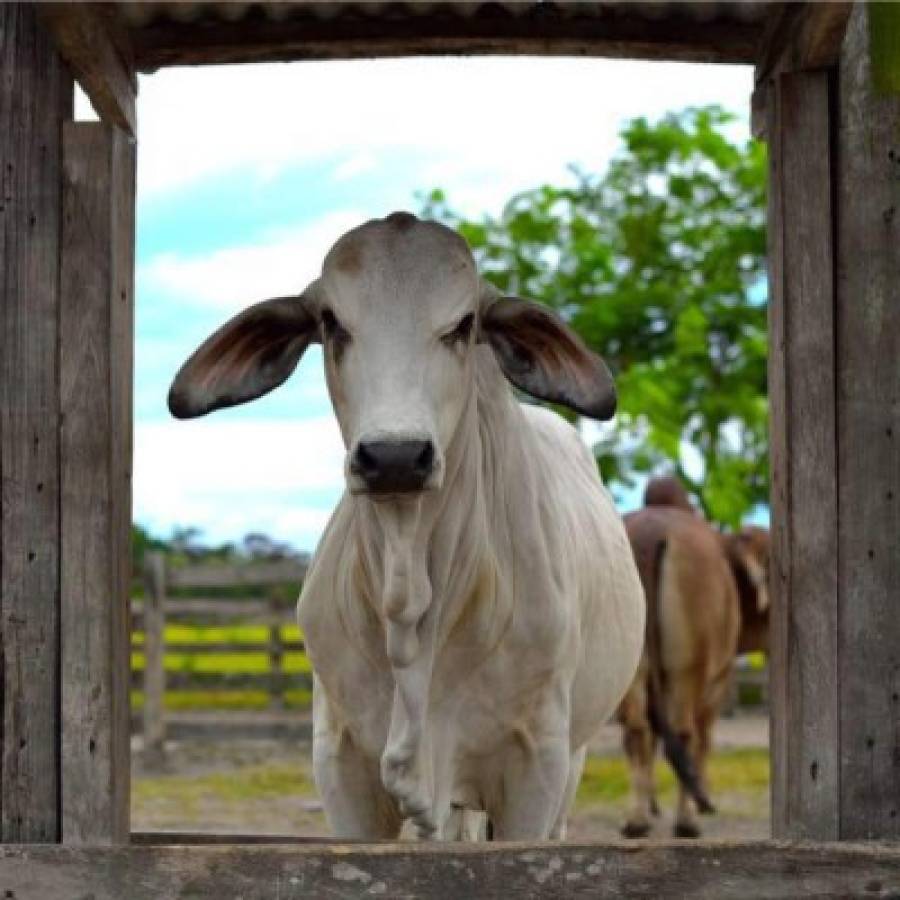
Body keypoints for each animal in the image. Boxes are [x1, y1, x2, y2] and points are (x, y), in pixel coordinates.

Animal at [169, 209, 648, 836]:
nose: (394, 456)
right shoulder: (340, 762)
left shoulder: (537, 765)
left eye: (464, 324)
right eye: (331, 322)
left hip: (571, 763)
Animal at [620, 478, 772, 836]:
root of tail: (649, 538)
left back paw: (637, 819)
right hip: (689, 667)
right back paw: (687, 819)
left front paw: (653, 804)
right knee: (684, 732)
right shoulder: (718, 682)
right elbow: (704, 739)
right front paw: (704, 801)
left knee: (638, 731)